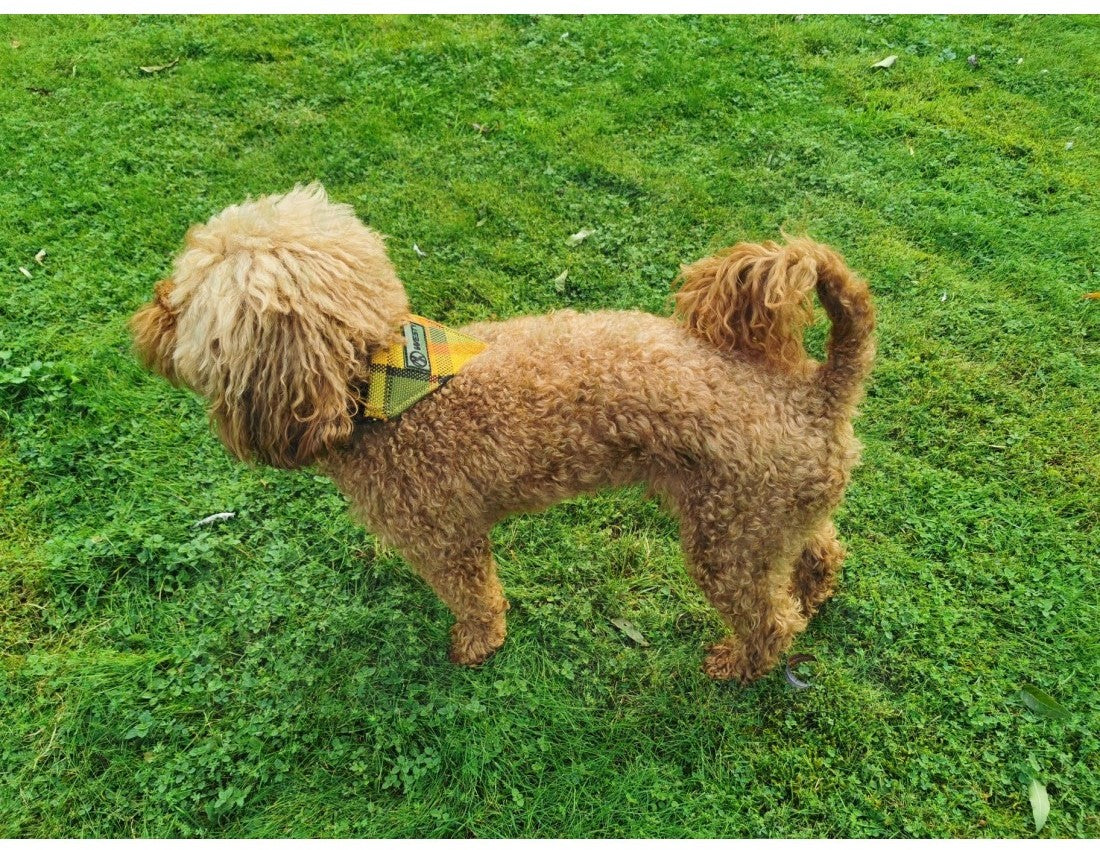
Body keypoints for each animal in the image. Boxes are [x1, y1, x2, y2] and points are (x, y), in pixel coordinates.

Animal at [128, 185, 871, 681]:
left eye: (181, 305)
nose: (144, 316)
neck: (377, 390)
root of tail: (818, 387)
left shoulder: (446, 537)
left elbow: (474, 594)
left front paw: (477, 644)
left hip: (729, 538)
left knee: (770, 619)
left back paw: (740, 662)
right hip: (770, 515)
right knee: (819, 550)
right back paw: (814, 591)